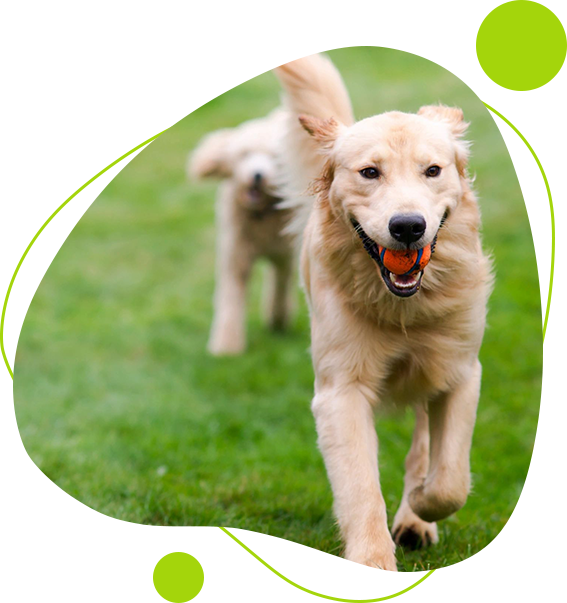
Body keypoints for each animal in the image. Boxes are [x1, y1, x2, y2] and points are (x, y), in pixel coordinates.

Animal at [189, 109, 296, 356]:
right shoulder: (235, 255)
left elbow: (280, 285)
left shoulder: (284, 254)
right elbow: (231, 298)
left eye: (273, 158)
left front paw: (278, 319)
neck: (261, 214)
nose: (257, 175)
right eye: (245, 154)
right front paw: (226, 347)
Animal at [274, 54, 492, 580]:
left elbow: (450, 479)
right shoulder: (341, 392)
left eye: (432, 170)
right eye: (369, 172)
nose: (408, 226)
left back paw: (415, 517)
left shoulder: (460, 372)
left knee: (424, 446)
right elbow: (360, 489)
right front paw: (373, 565)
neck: (404, 308)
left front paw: (421, 504)